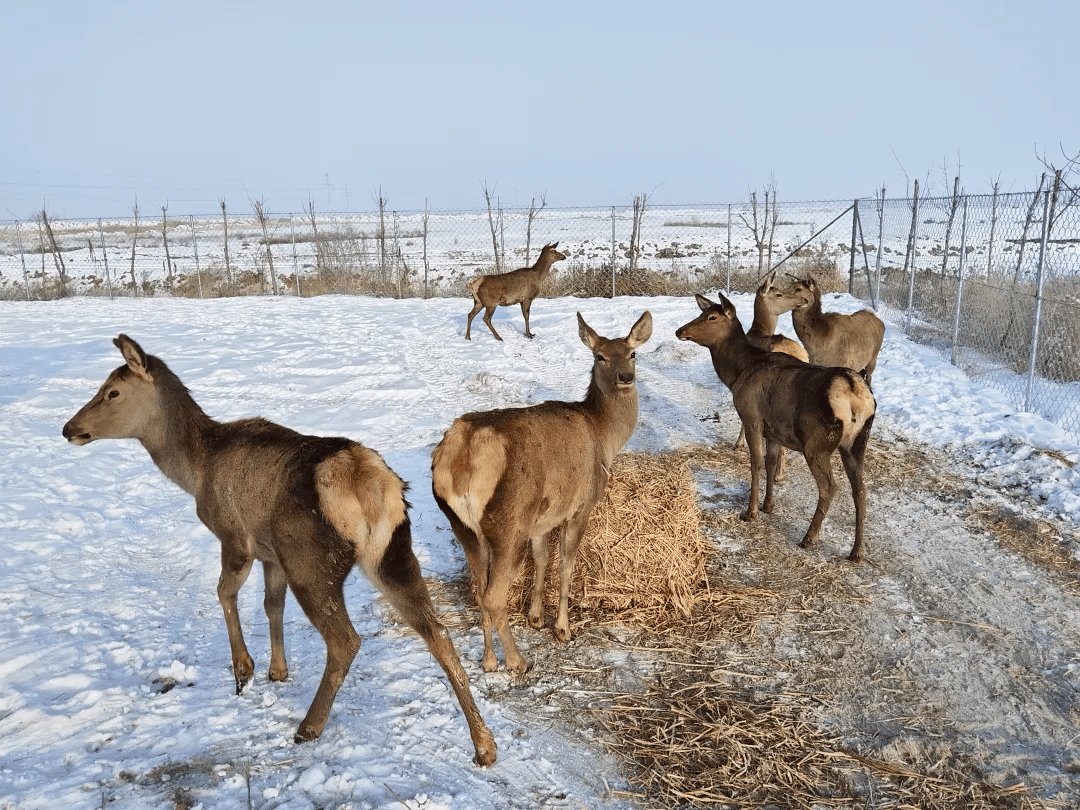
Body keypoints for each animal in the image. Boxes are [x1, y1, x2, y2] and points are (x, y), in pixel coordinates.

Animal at [60, 336, 496, 768]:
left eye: (112, 392)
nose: (69, 428)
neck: (195, 470)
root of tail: (367, 483)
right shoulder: (272, 554)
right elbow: (272, 604)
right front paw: (278, 670)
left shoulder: (235, 537)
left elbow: (224, 592)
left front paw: (244, 670)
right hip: (393, 553)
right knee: (437, 631)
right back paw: (484, 744)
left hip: (310, 560)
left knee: (345, 640)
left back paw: (309, 726)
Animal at [429, 311, 648, 673]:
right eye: (599, 356)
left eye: (633, 354)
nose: (626, 377)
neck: (604, 437)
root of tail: (464, 455)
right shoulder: (580, 505)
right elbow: (566, 564)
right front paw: (562, 628)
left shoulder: (543, 517)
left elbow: (543, 558)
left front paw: (535, 617)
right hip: (509, 521)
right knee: (494, 596)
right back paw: (516, 660)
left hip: (463, 527)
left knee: (479, 591)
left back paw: (489, 660)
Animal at [673, 295, 876, 565]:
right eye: (701, 313)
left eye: (712, 317)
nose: (680, 330)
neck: (738, 373)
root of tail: (855, 394)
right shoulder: (775, 429)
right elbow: (770, 462)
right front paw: (768, 505)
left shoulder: (752, 418)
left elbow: (756, 463)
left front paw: (751, 511)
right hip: (857, 441)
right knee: (860, 490)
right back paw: (858, 550)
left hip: (817, 443)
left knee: (830, 487)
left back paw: (809, 537)